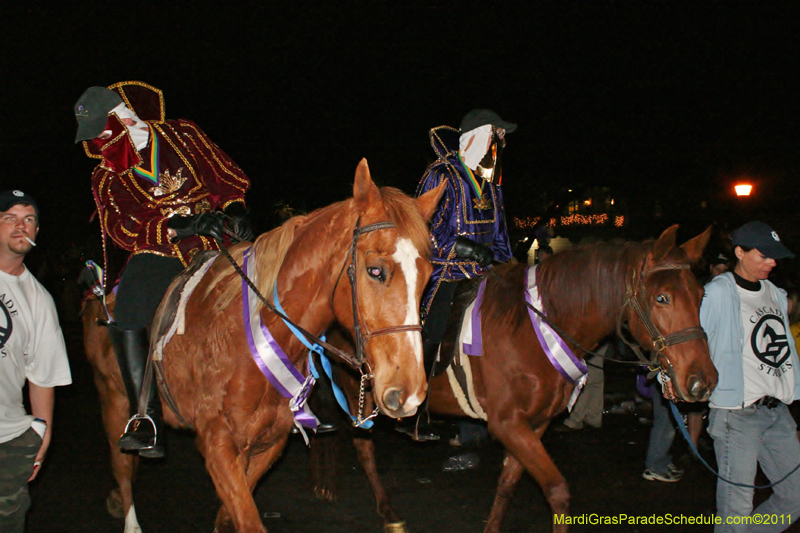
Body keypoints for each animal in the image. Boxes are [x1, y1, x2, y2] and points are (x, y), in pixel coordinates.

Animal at [83, 159, 444, 532]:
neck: (245, 343)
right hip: (114, 401)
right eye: (375, 270)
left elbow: (231, 515)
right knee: (123, 466)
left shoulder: (266, 443)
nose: (409, 392)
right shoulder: (217, 444)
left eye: (428, 276)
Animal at [310, 225, 716, 532]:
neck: (535, 327)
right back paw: (382, 509)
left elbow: (507, 484)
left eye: (701, 294)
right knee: (360, 446)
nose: (703, 381)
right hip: (356, 387)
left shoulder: (533, 425)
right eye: (662, 298)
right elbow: (557, 491)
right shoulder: (507, 424)